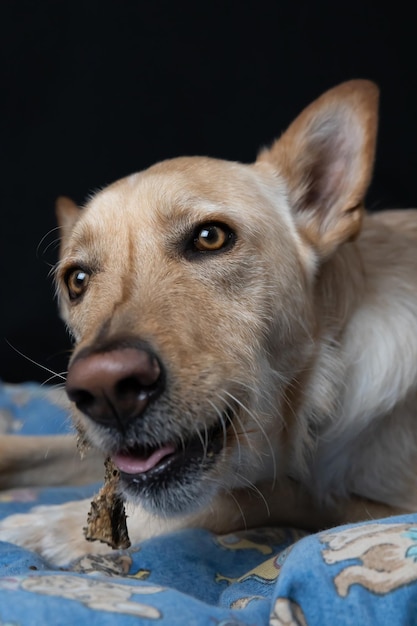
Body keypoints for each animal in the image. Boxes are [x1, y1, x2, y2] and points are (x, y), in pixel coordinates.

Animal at [0, 79, 416, 564]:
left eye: (210, 237)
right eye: (77, 279)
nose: (105, 389)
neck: (318, 397)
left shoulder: (381, 509)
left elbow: (249, 495)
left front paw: (52, 526)